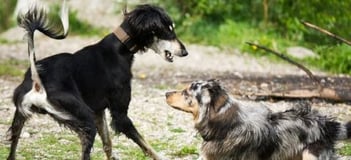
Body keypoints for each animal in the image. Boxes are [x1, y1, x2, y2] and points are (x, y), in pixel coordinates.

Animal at [6, 0, 187, 159]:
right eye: (168, 30)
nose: (185, 52)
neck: (120, 49)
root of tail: (37, 81)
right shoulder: (120, 115)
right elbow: (146, 145)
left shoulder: (98, 111)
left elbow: (108, 144)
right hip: (83, 120)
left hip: (20, 118)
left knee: (12, 152)